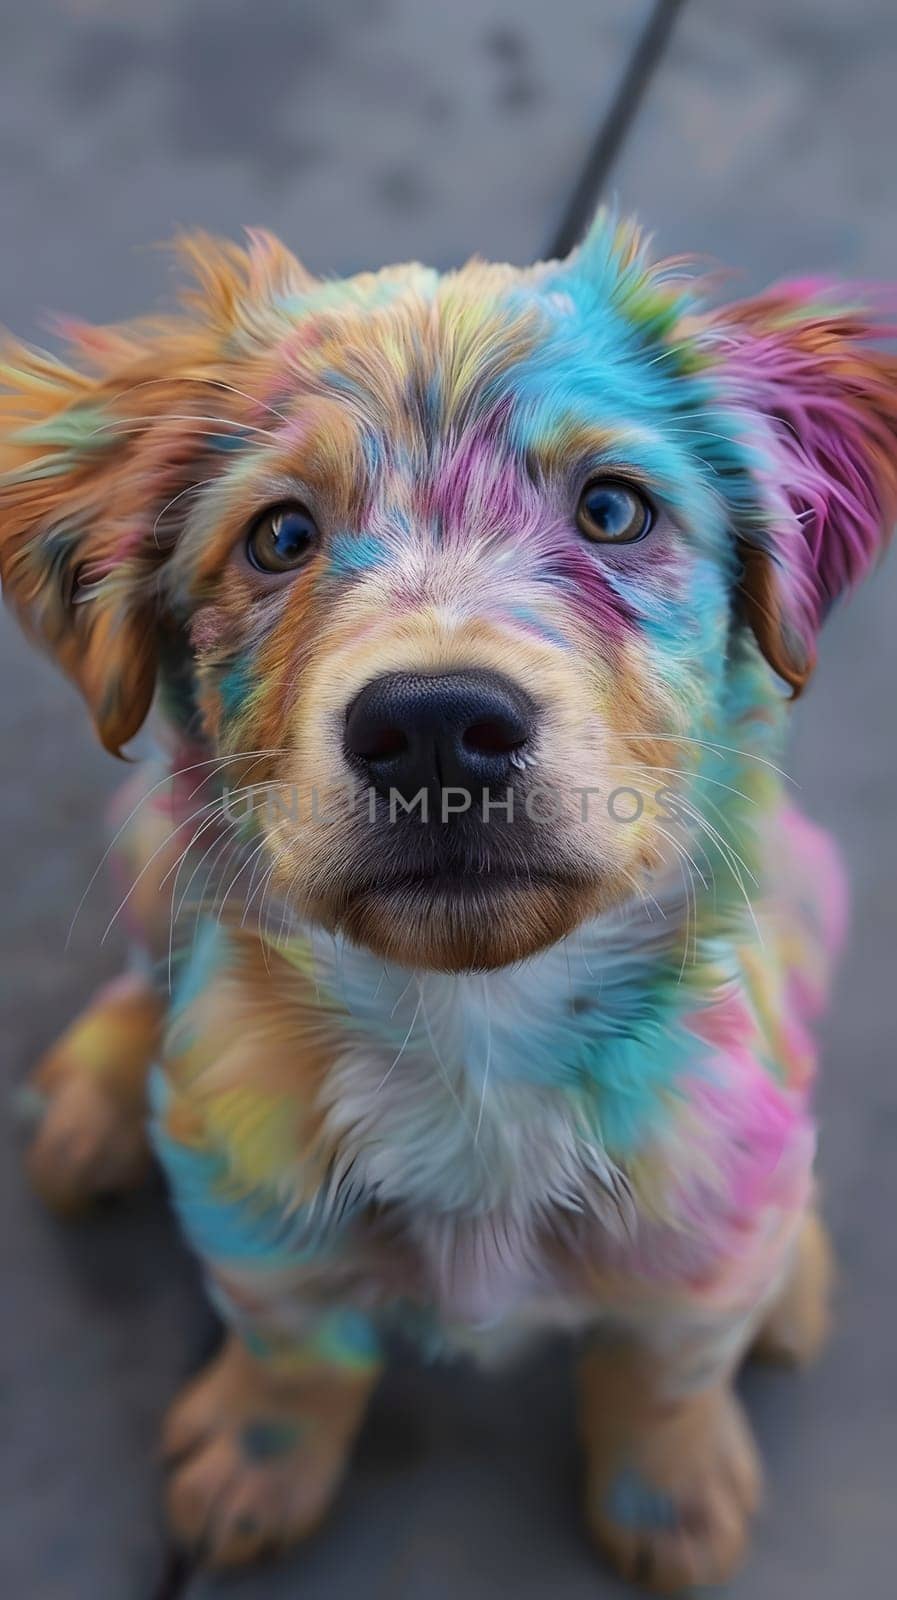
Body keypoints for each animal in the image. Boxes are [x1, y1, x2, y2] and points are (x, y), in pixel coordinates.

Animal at [3, 209, 889, 1587]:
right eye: (279, 536)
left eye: (615, 508)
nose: (433, 729)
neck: (476, 1043)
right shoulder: (258, 1237)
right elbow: (295, 1354)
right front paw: (256, 1455)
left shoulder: (698, 1246)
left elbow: (667, 1366)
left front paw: (672, 1492)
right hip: (146, 845)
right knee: (144, 976)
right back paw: (94, 1102)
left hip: (811, 885)